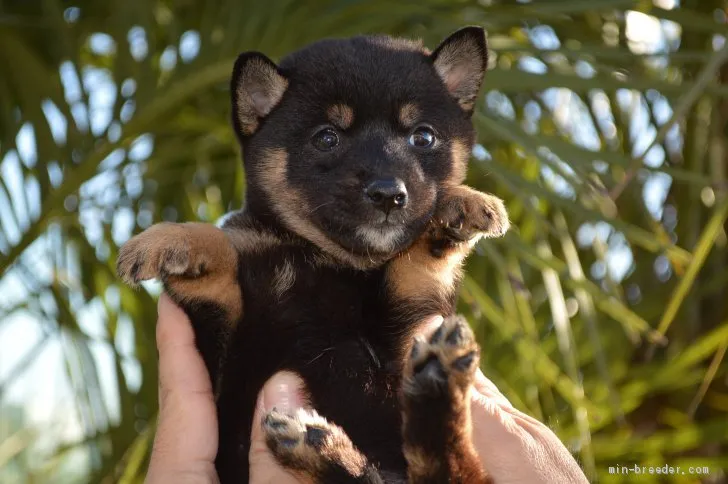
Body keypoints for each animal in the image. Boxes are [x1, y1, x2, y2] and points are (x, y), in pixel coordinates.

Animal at [116, 26, 510, 484]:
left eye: (423, 136)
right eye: (326, 137)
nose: (389, 194)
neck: (335, 262)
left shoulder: (408, 322)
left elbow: (416, 262)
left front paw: (458, 205)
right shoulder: (224, 356)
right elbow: (221, 253)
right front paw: (168, 240)